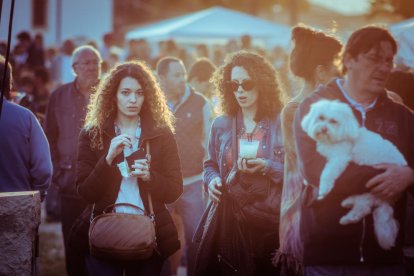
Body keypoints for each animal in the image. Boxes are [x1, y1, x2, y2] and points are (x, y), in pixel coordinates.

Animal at [300, 99, 406, 250]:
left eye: (333, 121)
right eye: (320, 117)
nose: (324, 129)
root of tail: (387, 200)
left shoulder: (339, 158)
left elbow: (327, 173)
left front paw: (323, 190)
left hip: (371, 189)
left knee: (362, 209)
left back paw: (347, 218)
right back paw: (348, 202)